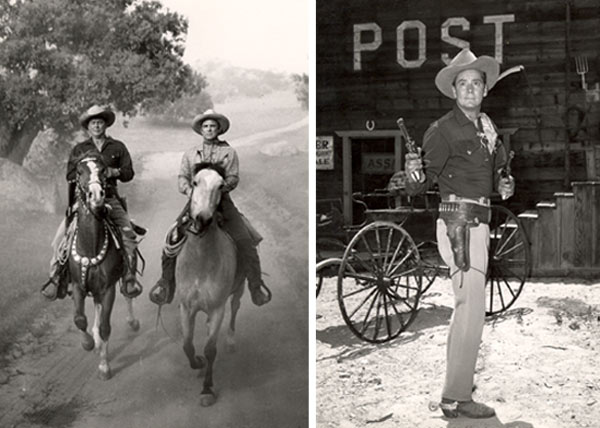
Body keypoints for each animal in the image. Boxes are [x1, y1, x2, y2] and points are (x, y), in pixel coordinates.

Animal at [69, 152, 140, 380]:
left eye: (102, 170)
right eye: (79, 171)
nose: (97, 196)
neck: (91, 246)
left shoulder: (108, 288)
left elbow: (106, 327)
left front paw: (104, 367)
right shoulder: (78, 285)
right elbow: (80, 319)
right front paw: (88, 343)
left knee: (127, 292)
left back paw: (132, 321)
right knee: (96, 308)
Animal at [176, 162, 246, 406]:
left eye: (221, 186)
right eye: (195, 182)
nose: (203, 219)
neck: (201, 261)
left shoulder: (217, 309)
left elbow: (210, 349)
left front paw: (207, 389)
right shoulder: (186, 307)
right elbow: (187, 344)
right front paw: (196, 363)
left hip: (238, 290)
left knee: (235, 308)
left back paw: (232, 341)